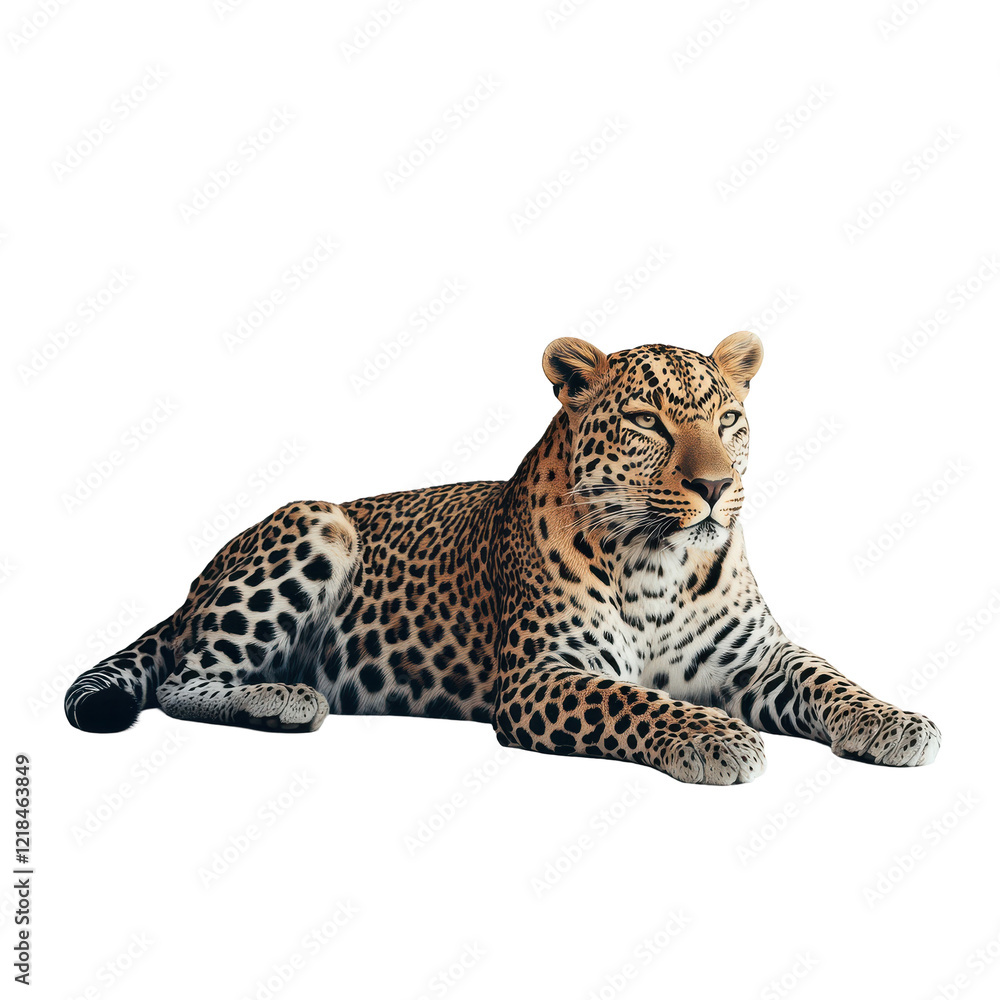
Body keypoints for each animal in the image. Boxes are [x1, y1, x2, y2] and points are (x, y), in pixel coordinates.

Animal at [64, 332, 941, 784]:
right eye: (648, 423)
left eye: (728, 420)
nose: (716, 486)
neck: (662, 565)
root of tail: (194, 586)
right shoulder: (541, 675)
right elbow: (638, 702)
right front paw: (716, 739)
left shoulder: (757, 658)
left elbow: (830, 677)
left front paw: (899, 722)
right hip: (315, 522)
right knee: (182, 678)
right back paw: (283, 698)